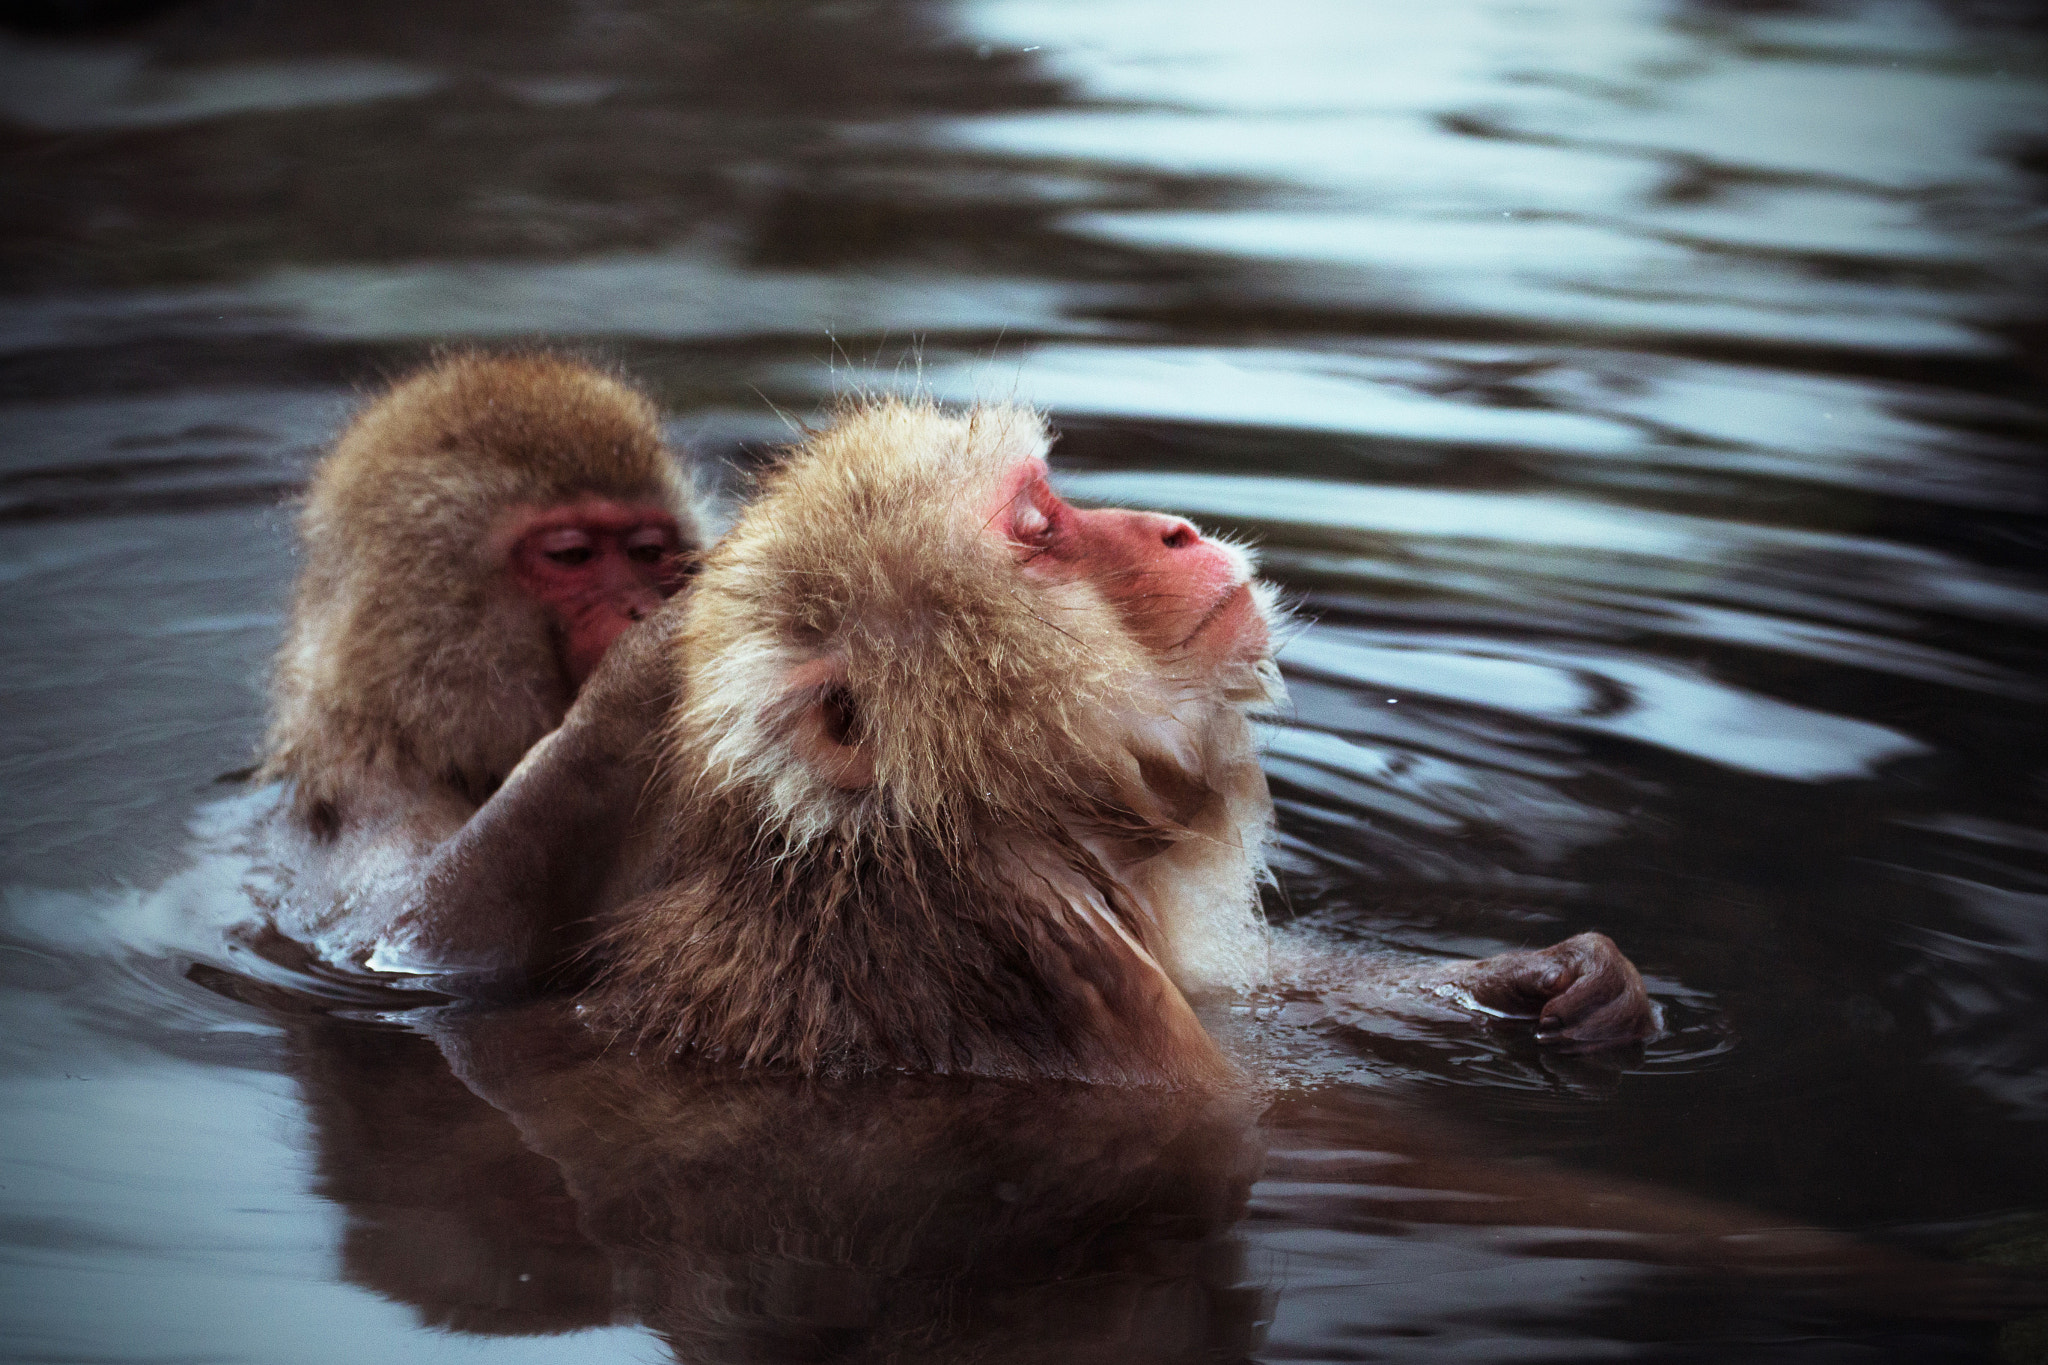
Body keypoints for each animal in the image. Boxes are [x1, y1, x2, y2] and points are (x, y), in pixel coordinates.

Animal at [253, 352, 702, 967]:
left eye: (649, 552)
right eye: (572, 555)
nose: (640, 607)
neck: (414, 727)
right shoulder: (373, 789)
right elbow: (411, 928)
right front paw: (646, 662)